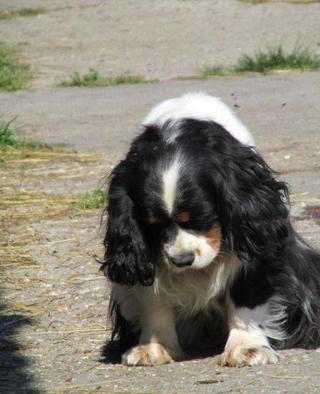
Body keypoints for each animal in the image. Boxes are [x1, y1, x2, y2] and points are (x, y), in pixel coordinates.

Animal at [100, 91, 320, 366]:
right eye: (152, 226)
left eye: (202, 217)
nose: (182, 260)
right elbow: (153, 299)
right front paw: (154, 347)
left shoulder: (255, 240)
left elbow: (246, 298)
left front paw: (247, 347)